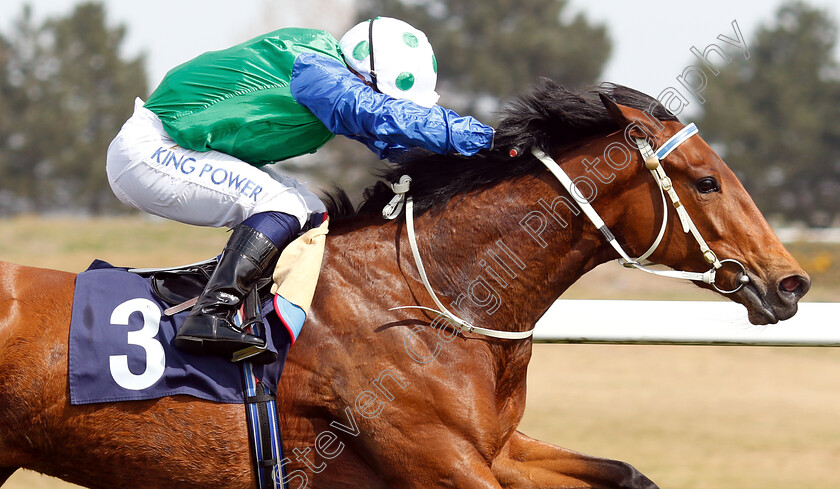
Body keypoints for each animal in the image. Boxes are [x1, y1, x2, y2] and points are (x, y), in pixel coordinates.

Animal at [1, 82, 812, 486]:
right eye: (706, 181)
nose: (792, 282)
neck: (431, 299)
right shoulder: (440, 462)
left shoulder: (494, 449)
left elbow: (628, 474)